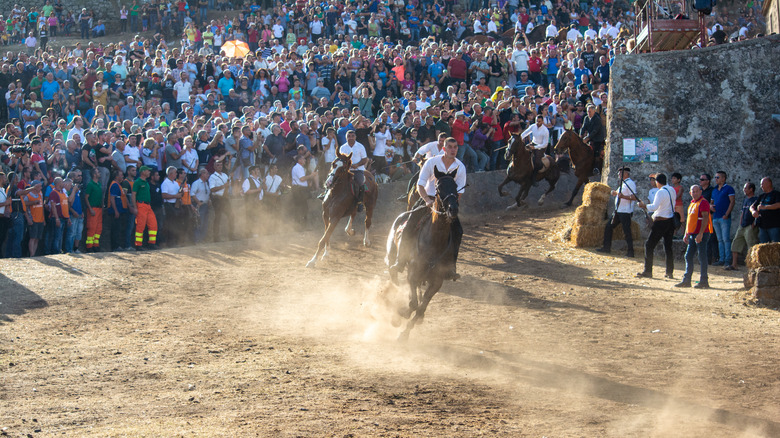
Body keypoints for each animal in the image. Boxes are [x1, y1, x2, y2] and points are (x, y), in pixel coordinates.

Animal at [386, 166, 460, 340]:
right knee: (394, 274)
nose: (453, 209)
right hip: (392, 255)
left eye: (455, 186)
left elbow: (420, 308)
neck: (434, 242)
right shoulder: (413, 274)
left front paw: (405, 333)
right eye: (438, 187)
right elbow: (413, 304)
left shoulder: (437, 281)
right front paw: (400, 314)